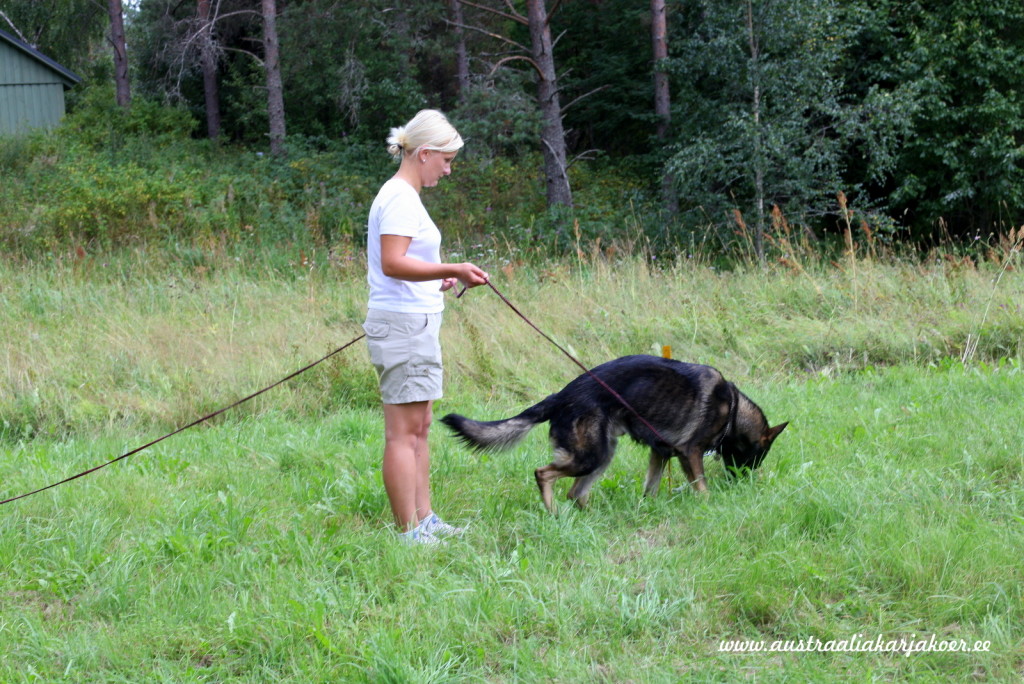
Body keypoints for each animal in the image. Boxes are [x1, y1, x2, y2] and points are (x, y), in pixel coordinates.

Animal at [440, 356, 782, 509]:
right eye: (755, 459)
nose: (744, 482)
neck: (733, 410)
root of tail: (561, 396)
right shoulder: (690, 453)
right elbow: (702, 487)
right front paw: (710, 505)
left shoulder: (660, 453)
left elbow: (651, 488)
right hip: (592, 456)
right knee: (544, 474)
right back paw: (553, 512)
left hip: (602, 454)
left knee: (575, 491)